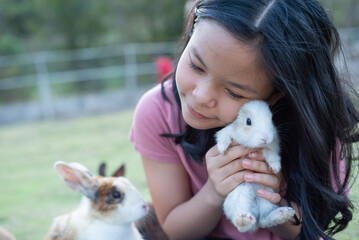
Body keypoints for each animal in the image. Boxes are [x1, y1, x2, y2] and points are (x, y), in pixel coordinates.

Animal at [217, 100, 296, 232]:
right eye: (248, 121)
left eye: (272, 119)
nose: (266, 138)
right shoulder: (226, 132)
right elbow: (223, 137)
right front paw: (222, 149)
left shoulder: (271, 147)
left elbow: (271, 155)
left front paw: (275, 168)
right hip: (238, 197)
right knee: (242, 226)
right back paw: (244, 219)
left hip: (265, 196)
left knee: (263, 221)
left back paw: (283, 213)